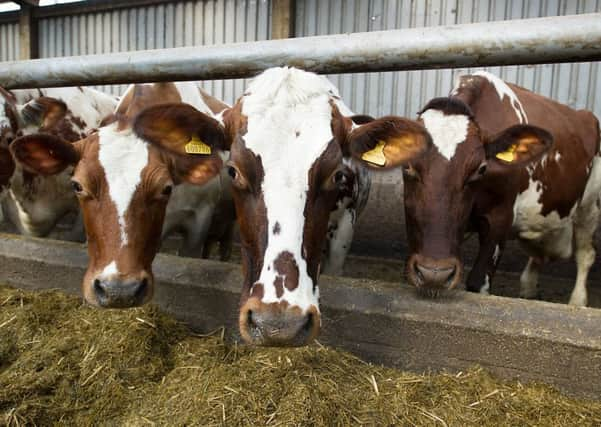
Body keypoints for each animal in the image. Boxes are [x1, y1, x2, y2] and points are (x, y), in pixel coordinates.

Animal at [354, 72, 596, 310]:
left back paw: (577, 302)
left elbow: (478, 281)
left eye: (480, 169)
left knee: (586, 254)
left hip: (590, 206)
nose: (436, 275)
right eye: (407, 166)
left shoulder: (500, 219)